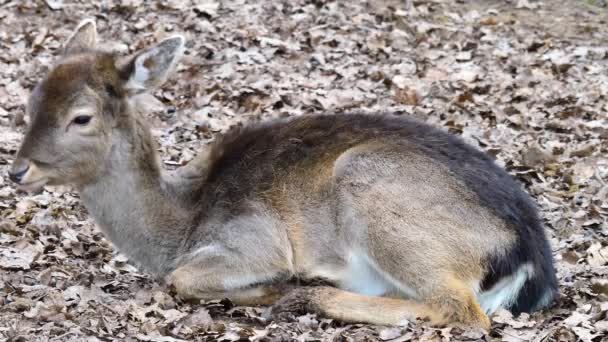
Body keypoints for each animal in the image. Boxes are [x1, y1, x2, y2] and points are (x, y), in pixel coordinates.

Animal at [7, 20, 560, 328]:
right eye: (30, 101)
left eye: (81, 117)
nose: (17, 171)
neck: (179, 224)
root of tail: (529, 259)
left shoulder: (253, 238)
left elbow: (182, 279)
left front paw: (275, 286)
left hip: (372, 185)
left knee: (461, 311)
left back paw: (311, 291)